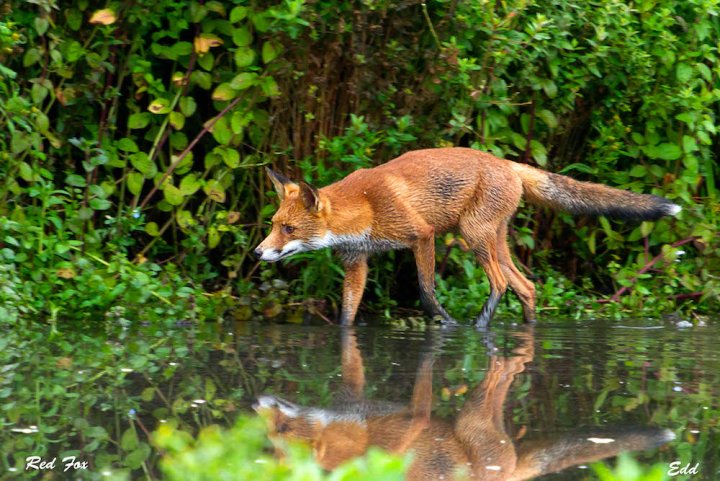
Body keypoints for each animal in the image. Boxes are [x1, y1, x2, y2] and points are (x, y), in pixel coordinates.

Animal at [254, 147, 681, 327]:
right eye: (274, 223)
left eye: (289, 229)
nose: (258, 253)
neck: (365, 207)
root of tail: (508, 163)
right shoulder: (356, 261)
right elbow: (347, 313)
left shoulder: (421, 236)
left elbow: (427, 293)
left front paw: (447, 325)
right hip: (493, 239)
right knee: (526, 287)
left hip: (472, 235)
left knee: (501, 284)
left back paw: (479, 327)